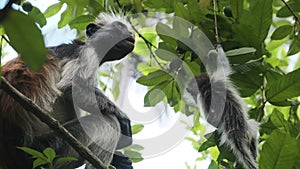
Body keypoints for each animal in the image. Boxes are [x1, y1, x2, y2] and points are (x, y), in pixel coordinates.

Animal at [0, 13, 134, 169]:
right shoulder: (83, 53)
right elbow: (72, 87)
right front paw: (124, 120)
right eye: (120, 26)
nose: (131, 35)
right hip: (46, 148)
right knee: (109, 121)